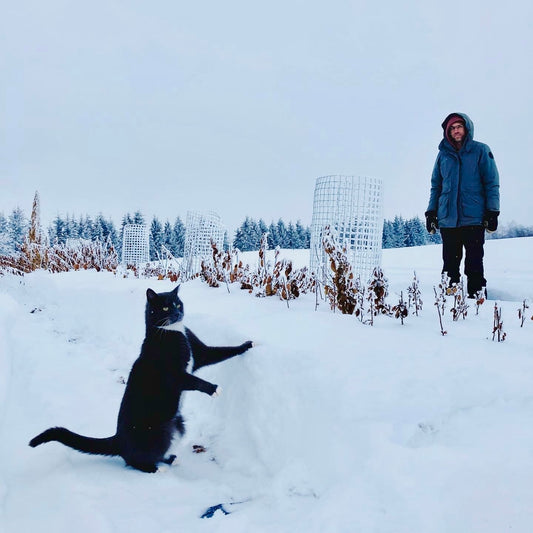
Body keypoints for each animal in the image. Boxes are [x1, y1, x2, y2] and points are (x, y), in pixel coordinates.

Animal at [29, 284, 254, 472]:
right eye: (165, 308)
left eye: (178, 303)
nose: (177, 312)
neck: (173, 332)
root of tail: (118, 440)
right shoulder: (173, 375)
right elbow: (193, 380)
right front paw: (214, 388)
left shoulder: (200, 353)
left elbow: (220, 351)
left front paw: (247, 345)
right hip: (159, 431)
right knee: (134, 459)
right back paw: (154, 468)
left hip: (178, 424)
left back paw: (169, 459)